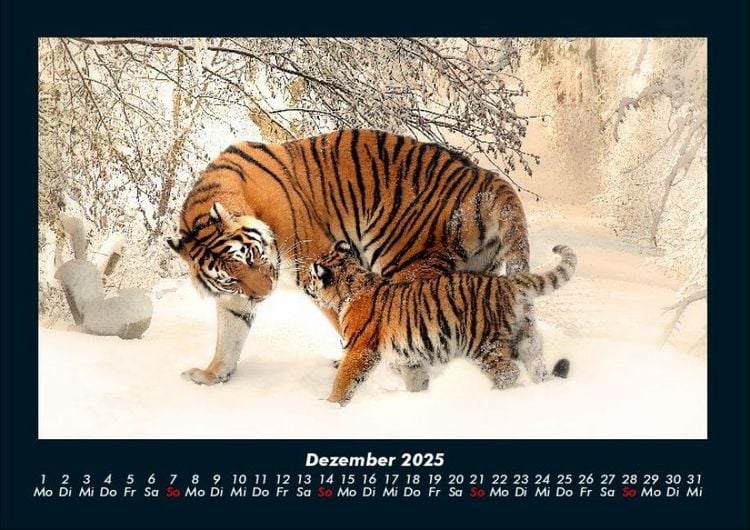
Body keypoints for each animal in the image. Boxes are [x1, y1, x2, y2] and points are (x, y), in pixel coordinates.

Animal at [167, 129, 542, 386]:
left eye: (250, 256)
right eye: (230, 277)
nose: (264, 294)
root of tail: (486, 177)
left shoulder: (317, 263)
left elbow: (348, 319)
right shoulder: (235, 297)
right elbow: (229, 335)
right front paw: (211, 375)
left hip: (408, 264)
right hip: (478, 273)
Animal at [305, 241, 576, 405]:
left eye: (311, 275)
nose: (306, 285)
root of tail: (507, 282)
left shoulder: (359, 349)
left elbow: (344, 381)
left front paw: (331, 406)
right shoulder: (409, 357)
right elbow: (416, 380)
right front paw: (419, 399)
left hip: (483, 344)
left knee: (508, 373)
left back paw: (492, 397)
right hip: (526, 339)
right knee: (537, 366)